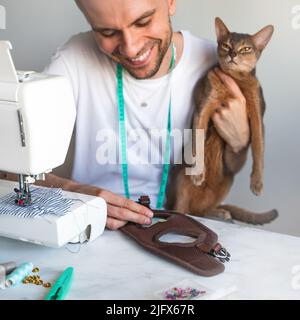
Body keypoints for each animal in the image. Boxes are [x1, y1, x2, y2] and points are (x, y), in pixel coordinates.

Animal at [166, 17, 276, 225]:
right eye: (226, 45)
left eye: (246, 49)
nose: (233, 54)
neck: (235, 80)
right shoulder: (203, 107)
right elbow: (199, 144)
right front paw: (198, 173)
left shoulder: (258, 114)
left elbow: (259, 148)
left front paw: (257, 183)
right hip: (181, 177)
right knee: (182, 209)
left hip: (227, 178)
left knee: (200, 211)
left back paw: (219, 213)